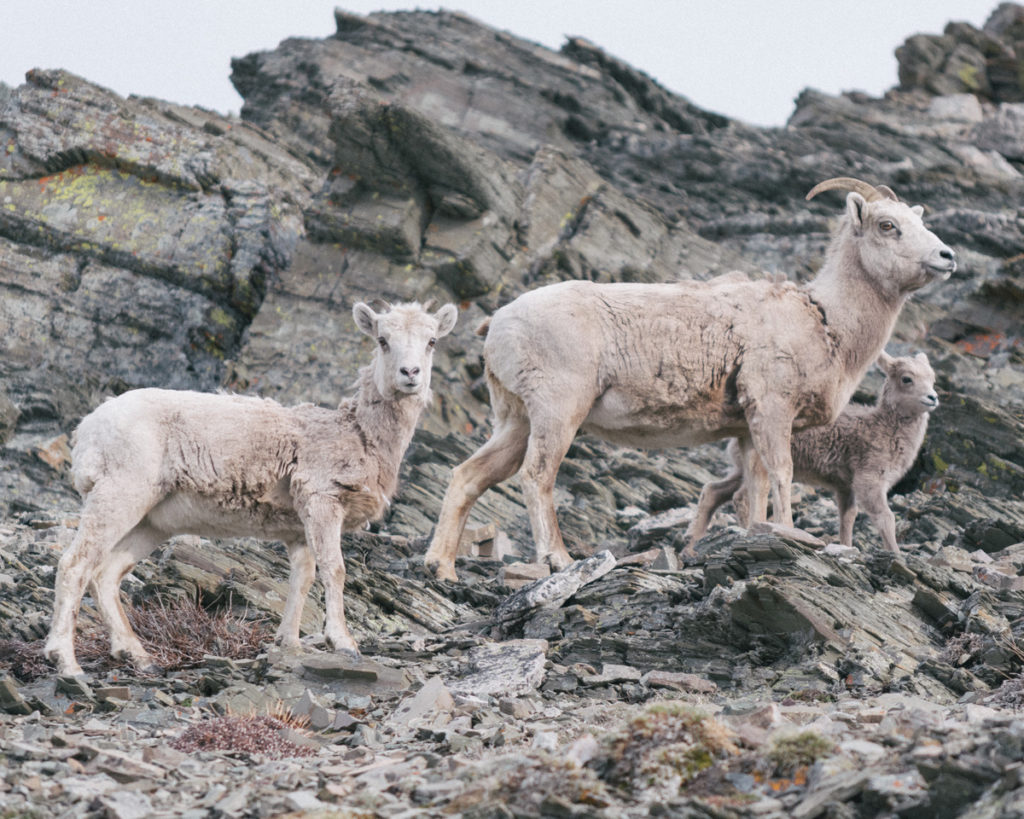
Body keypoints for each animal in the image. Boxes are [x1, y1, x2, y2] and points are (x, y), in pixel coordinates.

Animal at [44, 296, 458, 675]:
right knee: (75, 565)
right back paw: (66, 662)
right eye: (383, 340)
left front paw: (289, 644)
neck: (359, 435)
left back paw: (137, 656)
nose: (410, 372)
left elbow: (302, 579)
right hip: (118, 497)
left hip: (150, 522)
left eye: (432, 340)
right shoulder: (322, 503)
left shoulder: (299, 531)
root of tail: (87, 428)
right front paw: (343, 643)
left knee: (106, 573)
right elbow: (334, 569)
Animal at [684, 348, 937, 552]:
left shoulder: (846, 487)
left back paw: (691, 547)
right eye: (907, 379)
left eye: (932, 378)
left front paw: (846, 548)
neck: (882, 427)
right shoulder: (869, 481)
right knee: (742, 497)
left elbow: (847, 519)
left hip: (739, 469)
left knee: (714, 491)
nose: (933, 398)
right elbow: (886, 518)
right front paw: (896, 555)